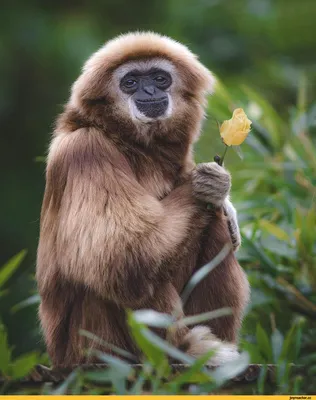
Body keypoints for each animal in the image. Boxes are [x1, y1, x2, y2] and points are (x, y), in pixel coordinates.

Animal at [36, 31, 249, 368]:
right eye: (130, 82)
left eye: (160, 78)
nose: (149, 90)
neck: (131, 143)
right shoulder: (85, 150)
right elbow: (120, 251)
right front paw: (207, 184)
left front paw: (224, 200)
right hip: (92, 346)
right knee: (132, 266)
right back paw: (181, 352)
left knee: (211, 223)